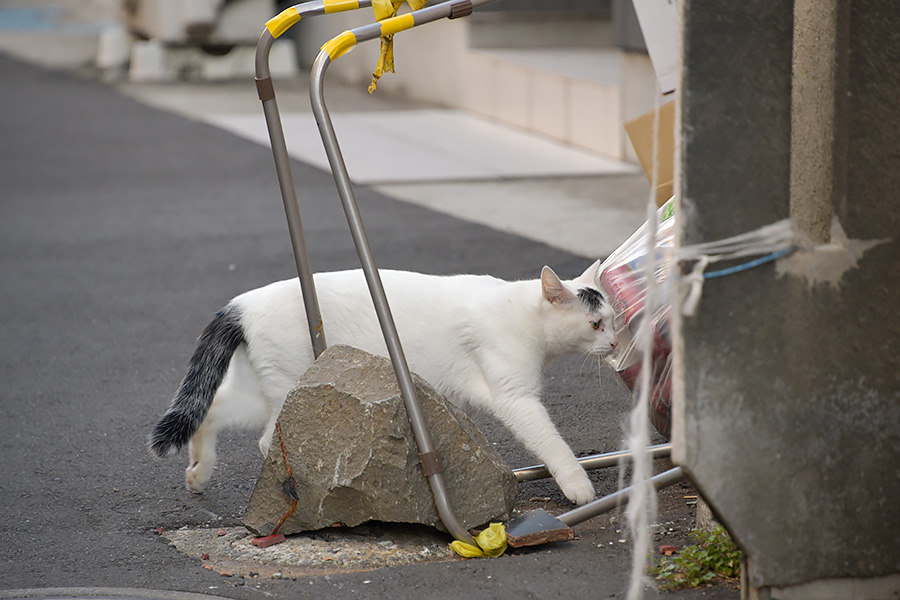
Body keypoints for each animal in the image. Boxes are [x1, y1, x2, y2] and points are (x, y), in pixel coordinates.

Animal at [153, 262, 620, 506]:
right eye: (595, 324)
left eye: (613, 320)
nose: (616, 342)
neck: (522, 311)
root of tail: (240, 303)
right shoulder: (515, 397)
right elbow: (552, 443)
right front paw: (579, 487)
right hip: (289, 387)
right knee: (269, 440)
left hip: (258, 392)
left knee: (210, 410)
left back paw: (198, 473)